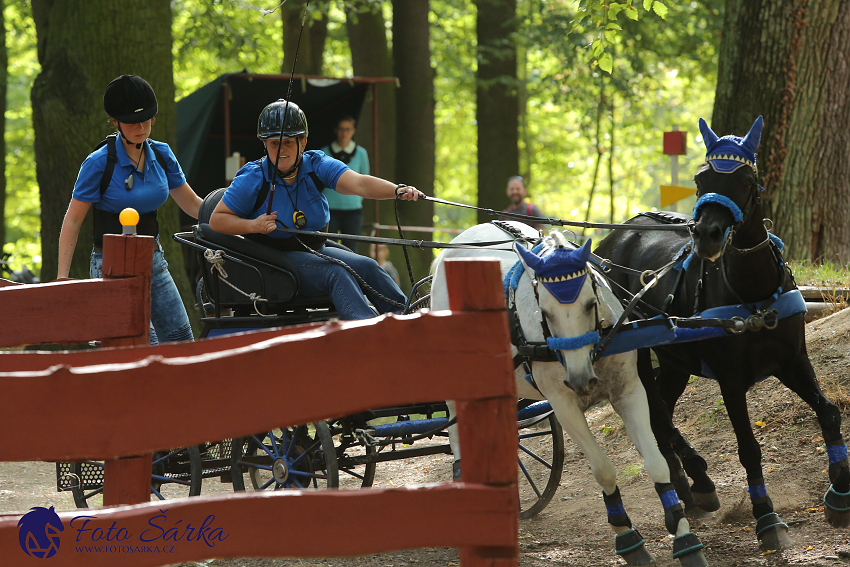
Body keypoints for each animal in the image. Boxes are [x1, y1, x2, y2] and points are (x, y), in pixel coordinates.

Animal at [430, 222, 708, 567]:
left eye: (590, 303)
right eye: (545, 312)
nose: (578, 378)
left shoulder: (629, 391)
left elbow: (656, 463)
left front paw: (685, 540)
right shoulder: (563, 405)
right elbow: (603, 470)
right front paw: (627, 537)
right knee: (457, 430)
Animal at [596, 117, 848, 552]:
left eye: (747, 180)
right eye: (701, 179)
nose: (707, 235)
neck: (752, 294)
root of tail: (611, 240)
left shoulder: (793, 361)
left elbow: (829, 412)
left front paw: (839, 493)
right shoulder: (731, 380)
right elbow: (748, 448)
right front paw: (766, 518)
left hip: (676, 363)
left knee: (662, 409)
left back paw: (692, 482)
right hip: (635, 353)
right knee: (656, 414)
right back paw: (690, 481)